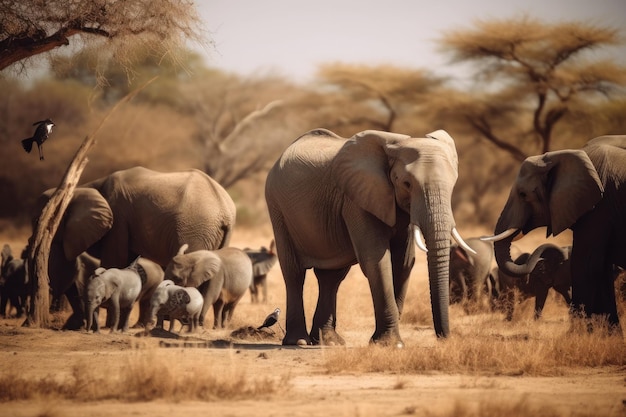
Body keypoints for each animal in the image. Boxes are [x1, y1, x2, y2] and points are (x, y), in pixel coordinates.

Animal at [264, 127, 468, 344]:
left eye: (453, 184)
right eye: (406, 183)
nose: (443, 338)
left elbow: (404, 262)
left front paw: (387, 342)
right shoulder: (357, 199)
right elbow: (376, 259)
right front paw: (390, 344)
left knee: (331, 277)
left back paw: (329, 341)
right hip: (277, 207)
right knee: (294, 273)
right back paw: (299, 341)